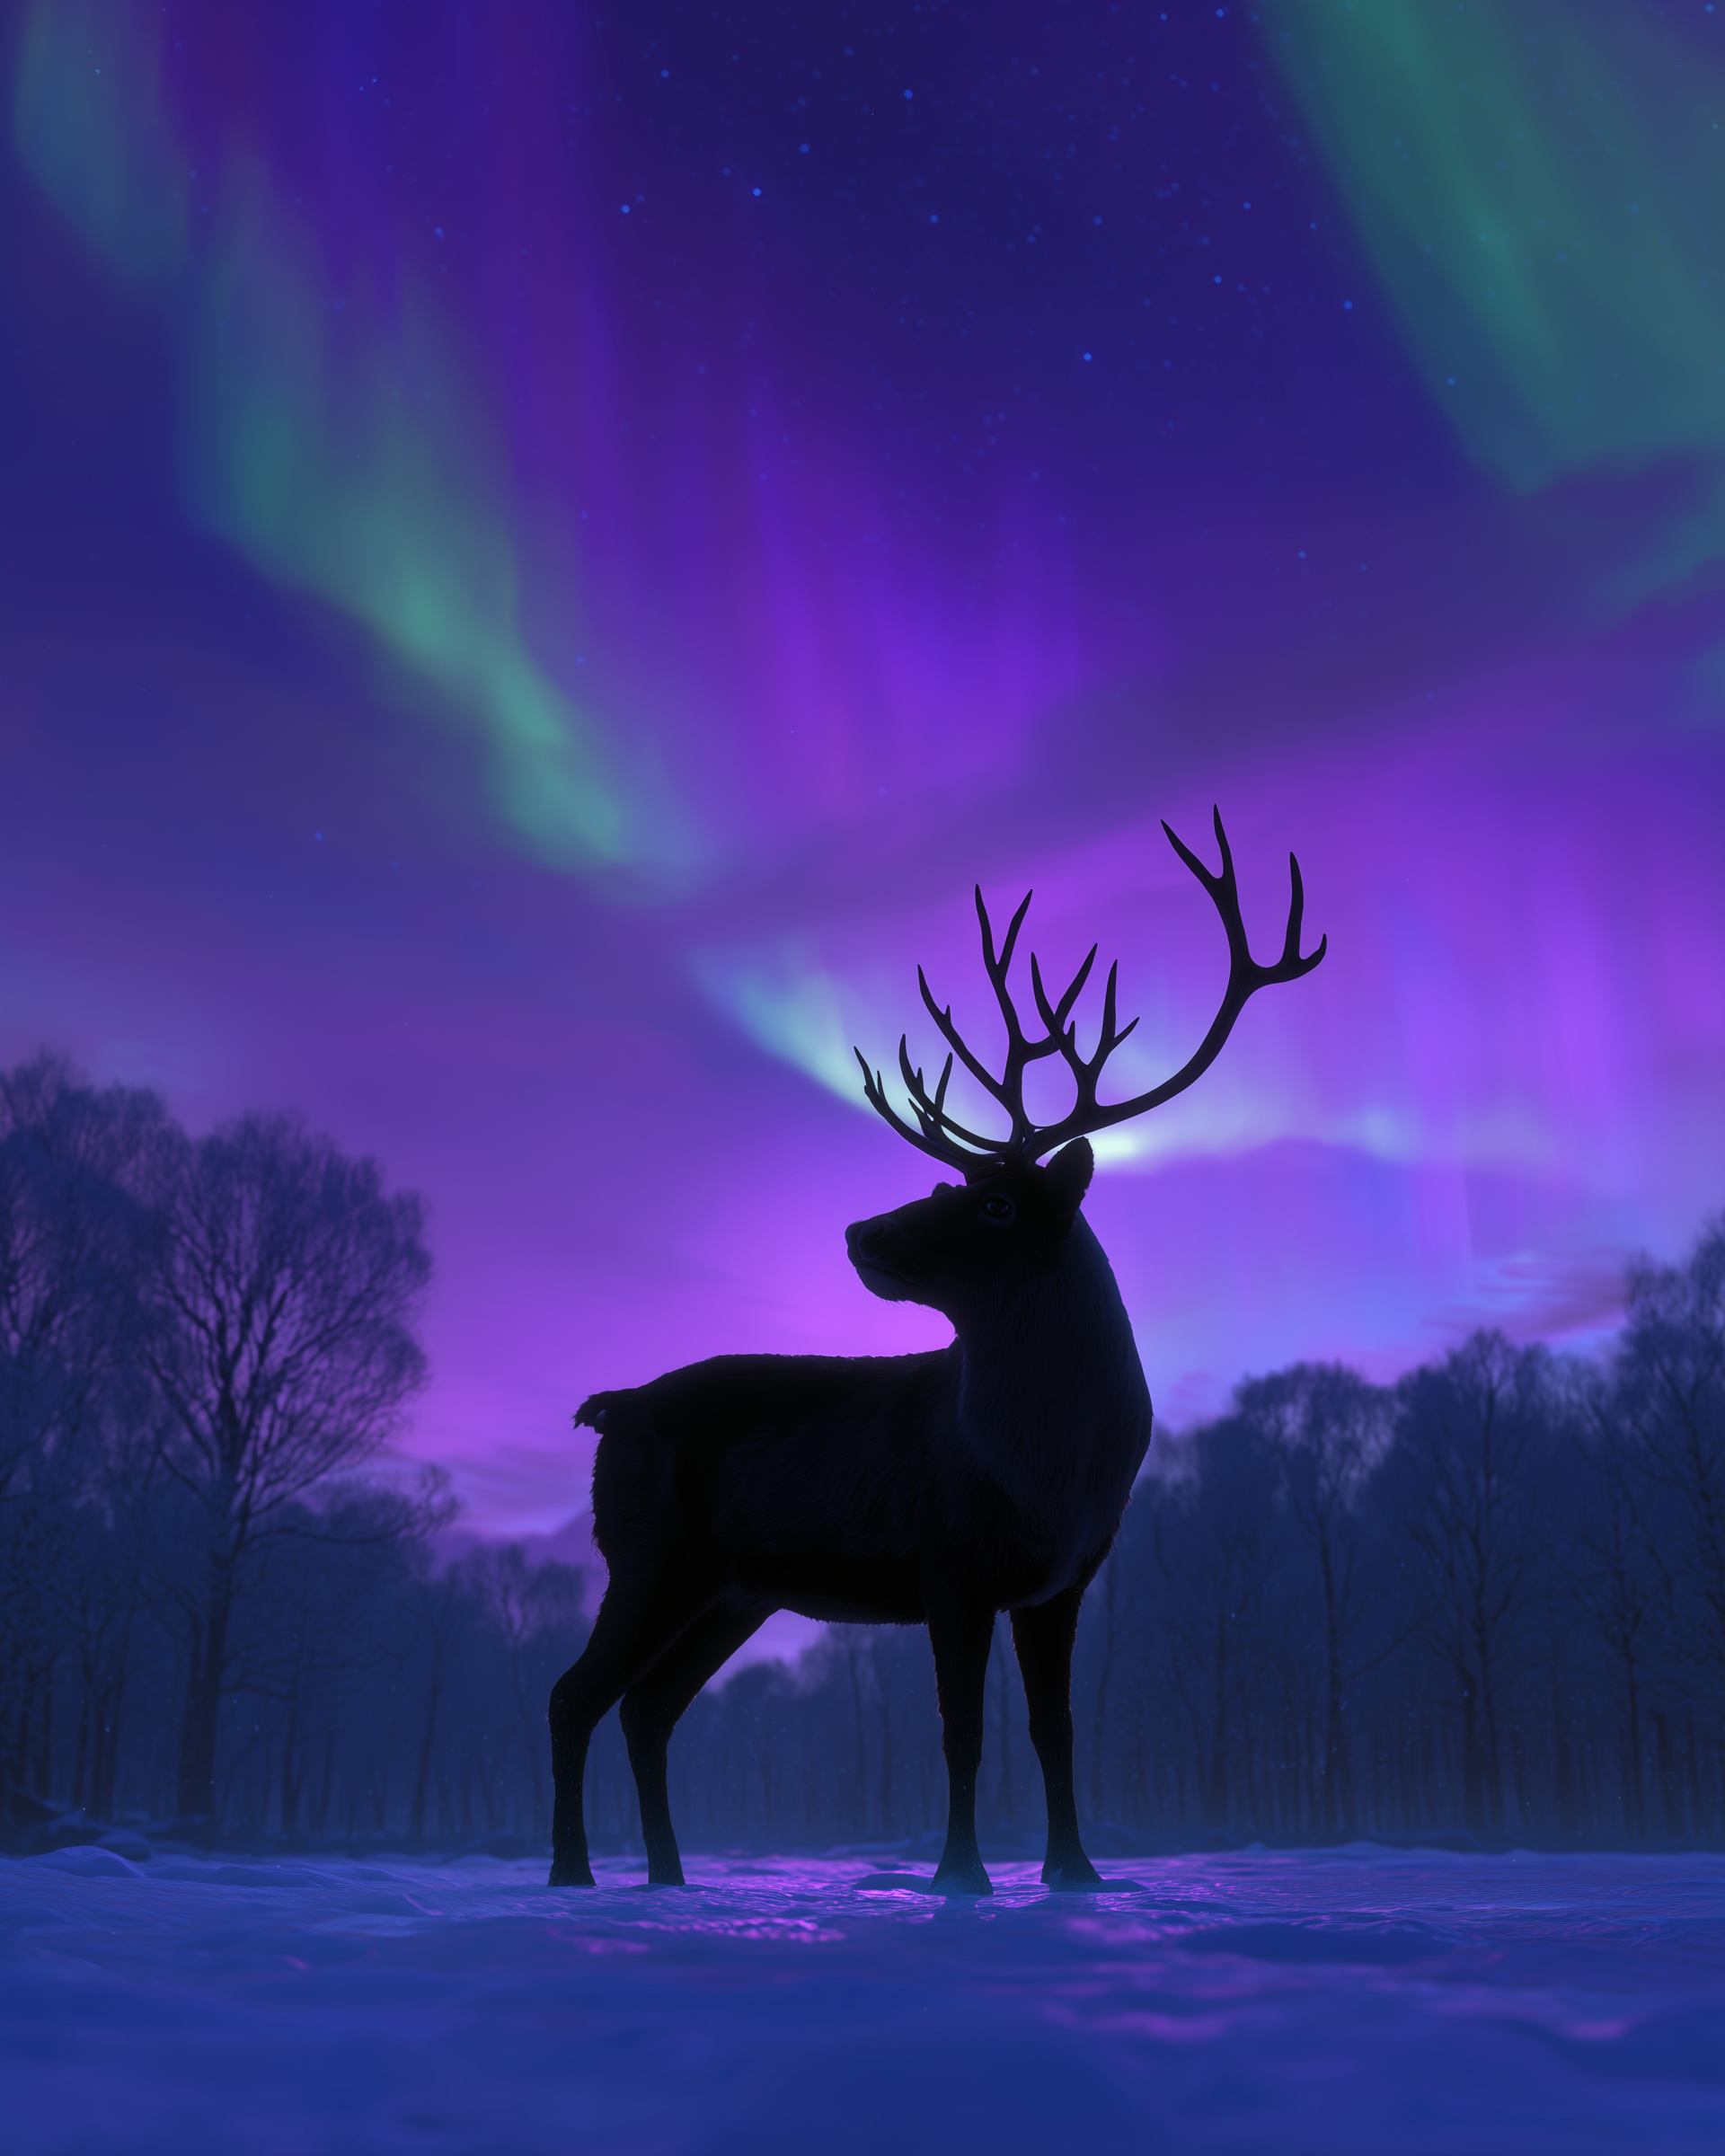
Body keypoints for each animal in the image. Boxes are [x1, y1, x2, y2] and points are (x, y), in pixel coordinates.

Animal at [549, 808, 1325, 1894]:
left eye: (994, 1201)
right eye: (946, 1184)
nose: (859, 1232)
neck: (1051, 1467)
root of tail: (606, 1406)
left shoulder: (1063, 1581)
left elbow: (1054, 1729)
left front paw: (1074, 1873)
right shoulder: (946, 1564)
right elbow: (961, 1733)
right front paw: (961, 1876)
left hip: (733, 1590)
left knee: (646, 1708)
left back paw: (667, 1876)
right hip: (650, 1555)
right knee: (574, 1694)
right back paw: (572, 1876)